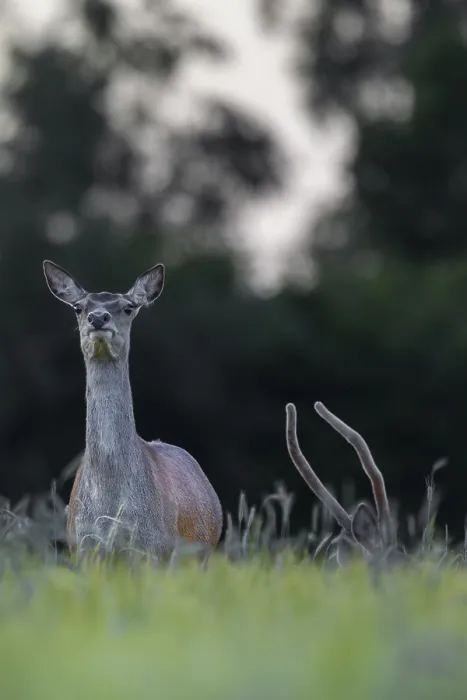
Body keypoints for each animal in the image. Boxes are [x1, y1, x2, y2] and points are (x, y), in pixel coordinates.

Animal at [43, 260, 223, 558]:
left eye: (127, 307)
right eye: (79, 307)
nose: (98, 318)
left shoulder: (154, 548)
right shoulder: (83, 546)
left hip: (202, 551)